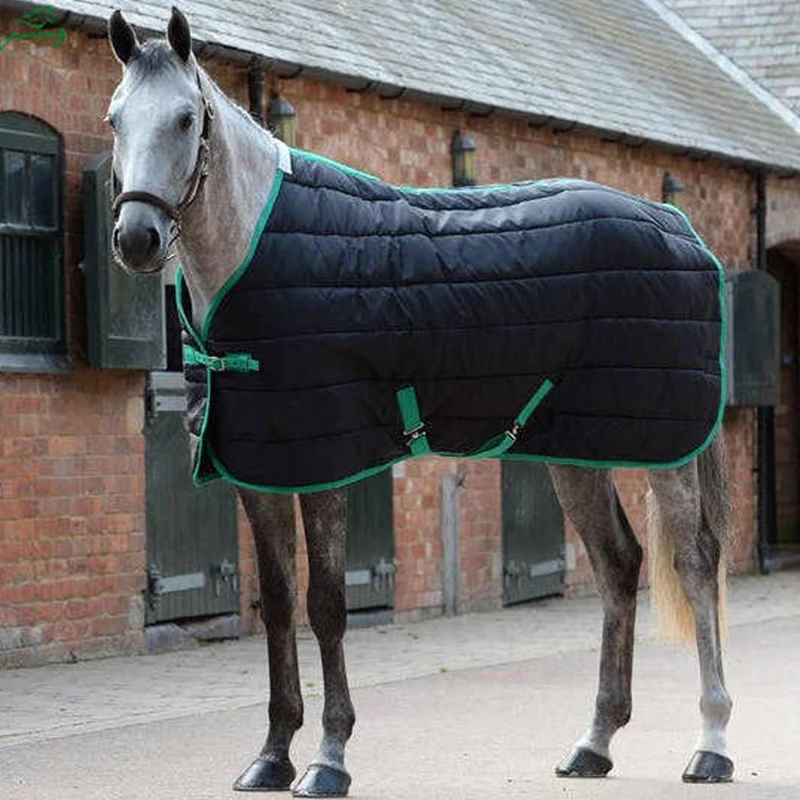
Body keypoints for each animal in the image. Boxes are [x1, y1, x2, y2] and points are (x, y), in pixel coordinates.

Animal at [106, 9, 734, 794]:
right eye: (115, 119)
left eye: (186, 118)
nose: (136, 237)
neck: (262, 251)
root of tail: (680, 230)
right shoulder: (261, 469)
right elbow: (278, 605)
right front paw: (272, 755)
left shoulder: (325, 465)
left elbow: (326, 604)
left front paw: (329, 757)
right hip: (576, 448)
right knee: (619, 564)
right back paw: (594, 743)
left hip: (664, 448)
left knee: (696, 564)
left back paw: (711, 743)